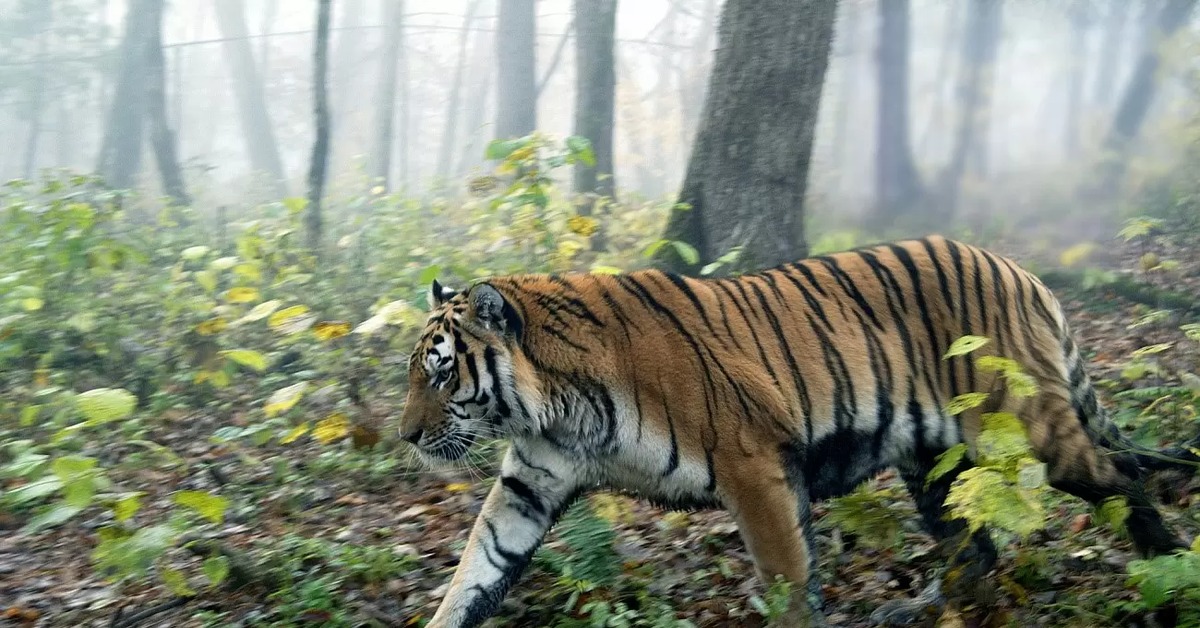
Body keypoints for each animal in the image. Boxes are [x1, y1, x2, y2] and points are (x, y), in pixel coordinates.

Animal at [396, 237, 1200, 628]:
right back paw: (918, 611)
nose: (404, 436)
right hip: (933, 459)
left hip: (1027, 427)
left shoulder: (753, 465)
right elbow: (476, 572)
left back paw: (1170, 582)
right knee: (975, 545)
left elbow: (787, 583)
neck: (555, 408)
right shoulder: (530, 484)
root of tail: (1021, 271)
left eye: (441, 372)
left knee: (1121, 480)